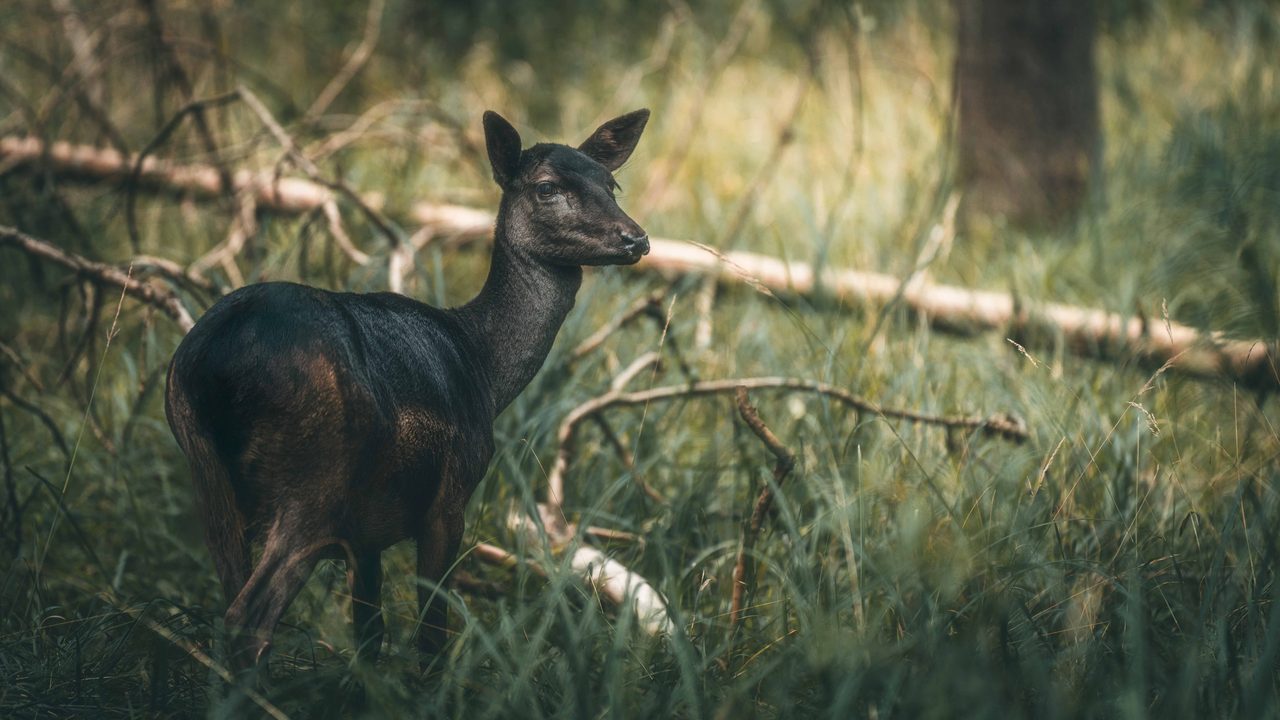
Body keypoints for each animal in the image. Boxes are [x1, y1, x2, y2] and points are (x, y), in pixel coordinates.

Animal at [164, 108, 651, 669]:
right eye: (547, 187)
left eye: (611, 183)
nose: (636, 238)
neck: (482, 368)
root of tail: (219, 359)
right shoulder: (449, 497)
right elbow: (431, 638)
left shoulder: (364, 537)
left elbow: (370, 637)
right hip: (317, 475)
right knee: (248, 618)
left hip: (205, 470)